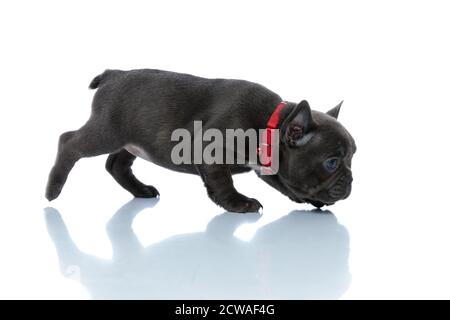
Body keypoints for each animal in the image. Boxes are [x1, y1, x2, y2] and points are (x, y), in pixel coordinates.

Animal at [44, 69, 356, 211]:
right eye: (331, 162)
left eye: (352, 157)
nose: (351, 180)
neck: (270, 122)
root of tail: (113, 75)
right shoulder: (211, 153)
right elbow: (222, 181)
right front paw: (238, 203)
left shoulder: (268, 167)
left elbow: (284, 183)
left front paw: (307, 199)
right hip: (107, 132)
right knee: (69, 142)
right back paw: (52, 191)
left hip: (133, 140)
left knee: (116, 165)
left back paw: (141, 190)